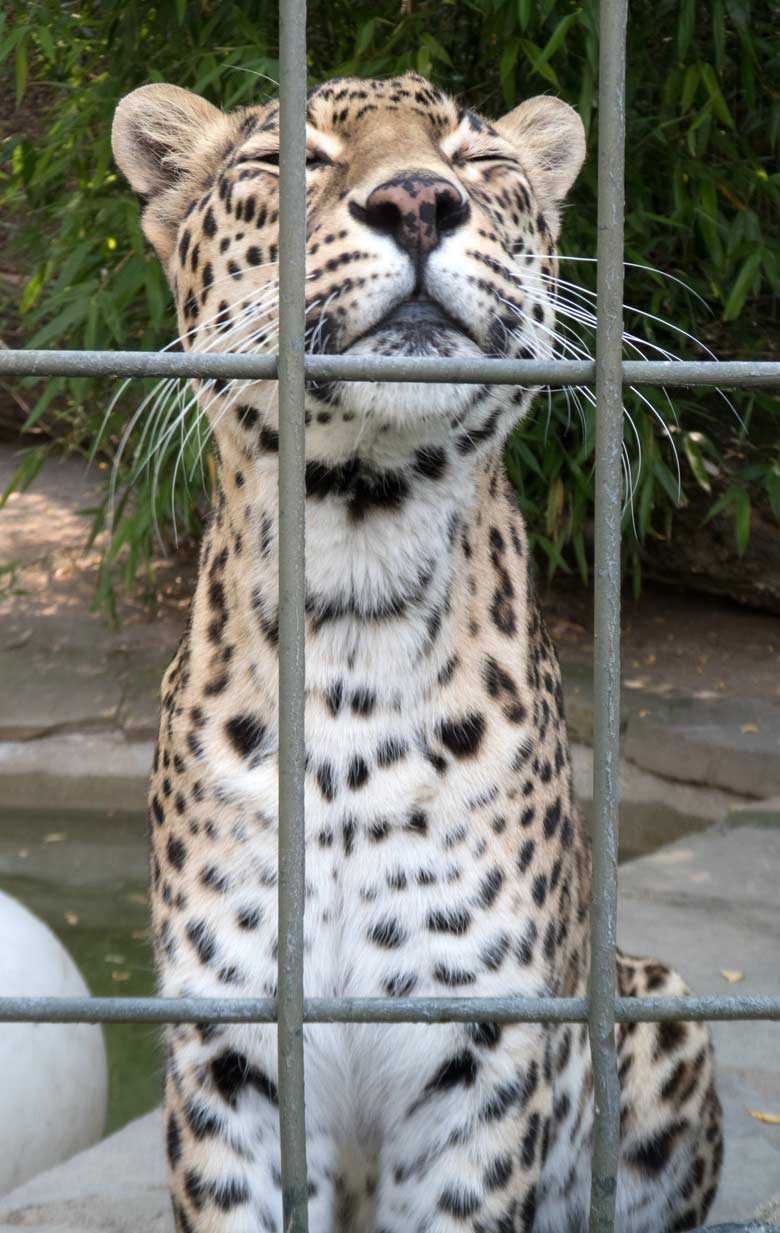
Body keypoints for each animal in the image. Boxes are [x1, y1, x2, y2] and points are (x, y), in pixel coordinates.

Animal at [110, 72, 724, 1228]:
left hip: (665, 1014)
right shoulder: (231, 1050)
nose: (419, 203)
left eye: (480, 164)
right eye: (287, 158)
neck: (357, 579)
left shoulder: (479, 1054)